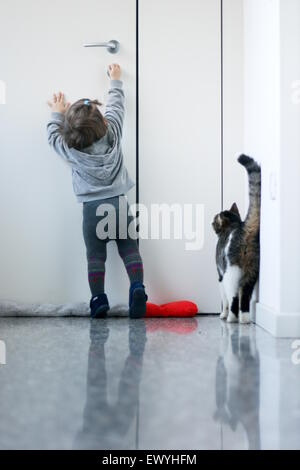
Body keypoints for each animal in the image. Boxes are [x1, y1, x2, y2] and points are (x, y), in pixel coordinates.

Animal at [212, 155, 262, 324]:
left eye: (214, 221)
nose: (211, 223)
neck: (233, 224)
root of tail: (244, 228)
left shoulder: (220, 275)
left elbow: (225, 300)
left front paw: (223, 314)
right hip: (252, 269)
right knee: (245, 294)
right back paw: (245, 319)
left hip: (232, 272)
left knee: (233, 296)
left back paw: (231, 318)